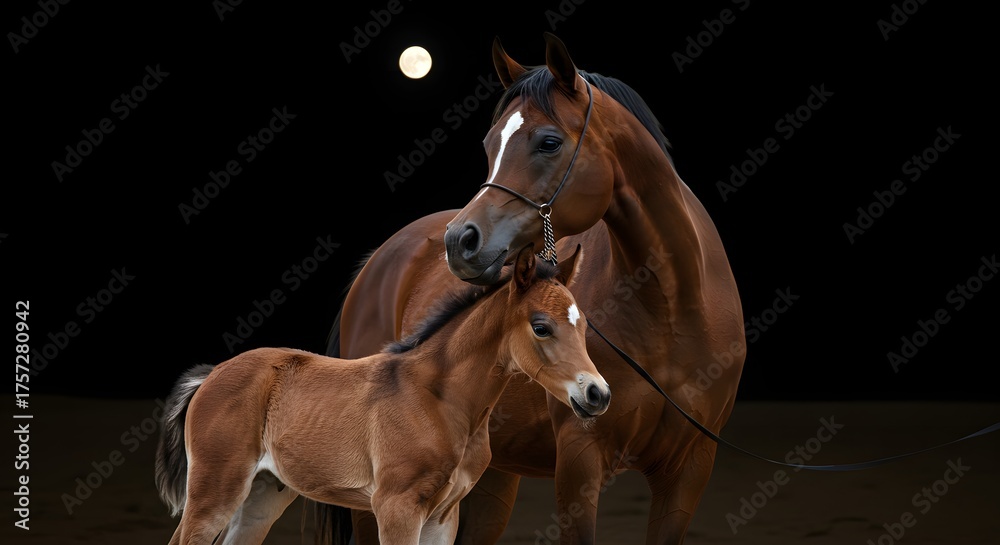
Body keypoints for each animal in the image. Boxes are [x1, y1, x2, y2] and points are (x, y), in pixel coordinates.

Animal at [155, 243, 612, 545]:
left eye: (583, 325)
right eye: (540, 326)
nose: (598, 394)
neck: (440, 400)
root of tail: (210, 376)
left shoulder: (443, 516)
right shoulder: (396, 508)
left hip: (262, 495)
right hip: (215, 490)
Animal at [319, 32, 745, 544]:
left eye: (549, 142)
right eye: (490, 144)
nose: (460, 242)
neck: (673, 308)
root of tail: (376, 263)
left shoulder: (689, 469)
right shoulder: (580, 457)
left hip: (492, 477)